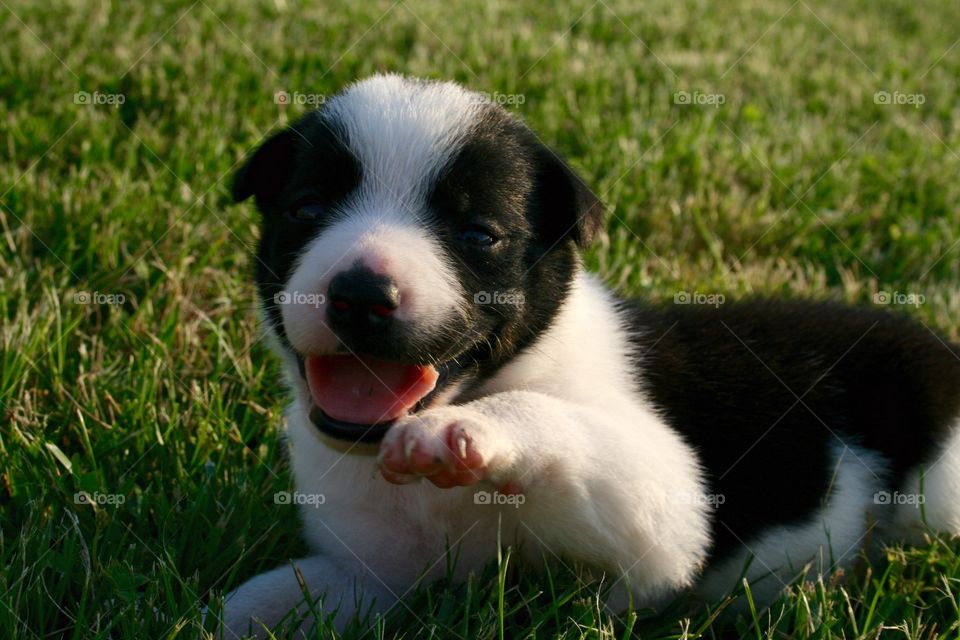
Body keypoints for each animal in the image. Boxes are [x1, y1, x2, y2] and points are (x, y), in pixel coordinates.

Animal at [221, 74, 960, 636]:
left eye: (479, 234)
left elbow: (563, 426)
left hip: (937, 476)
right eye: (306, 209)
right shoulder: (379, 570)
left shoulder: (662, 517)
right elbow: (278, 597)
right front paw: (232, 611)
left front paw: (463, 431)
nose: (361, 296)